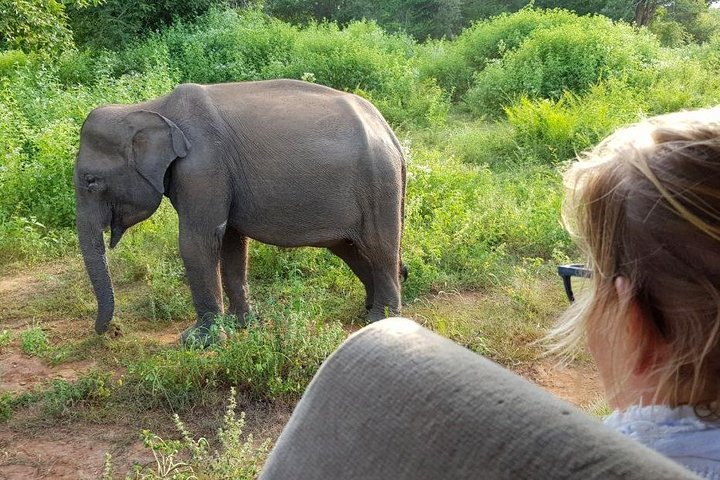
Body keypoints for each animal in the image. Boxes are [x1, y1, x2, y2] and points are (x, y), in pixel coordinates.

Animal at [76, 80, 408, 346]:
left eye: (91, 181)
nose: (108, 332)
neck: (151, 107)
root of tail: (389, 132)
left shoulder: (203, 168)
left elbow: (198, 242)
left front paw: (198, 342)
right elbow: (231, 242)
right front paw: (243, 325)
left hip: (379, 184)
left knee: (380, 246)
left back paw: (381, 319)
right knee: (347, 247)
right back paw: (370, 309)